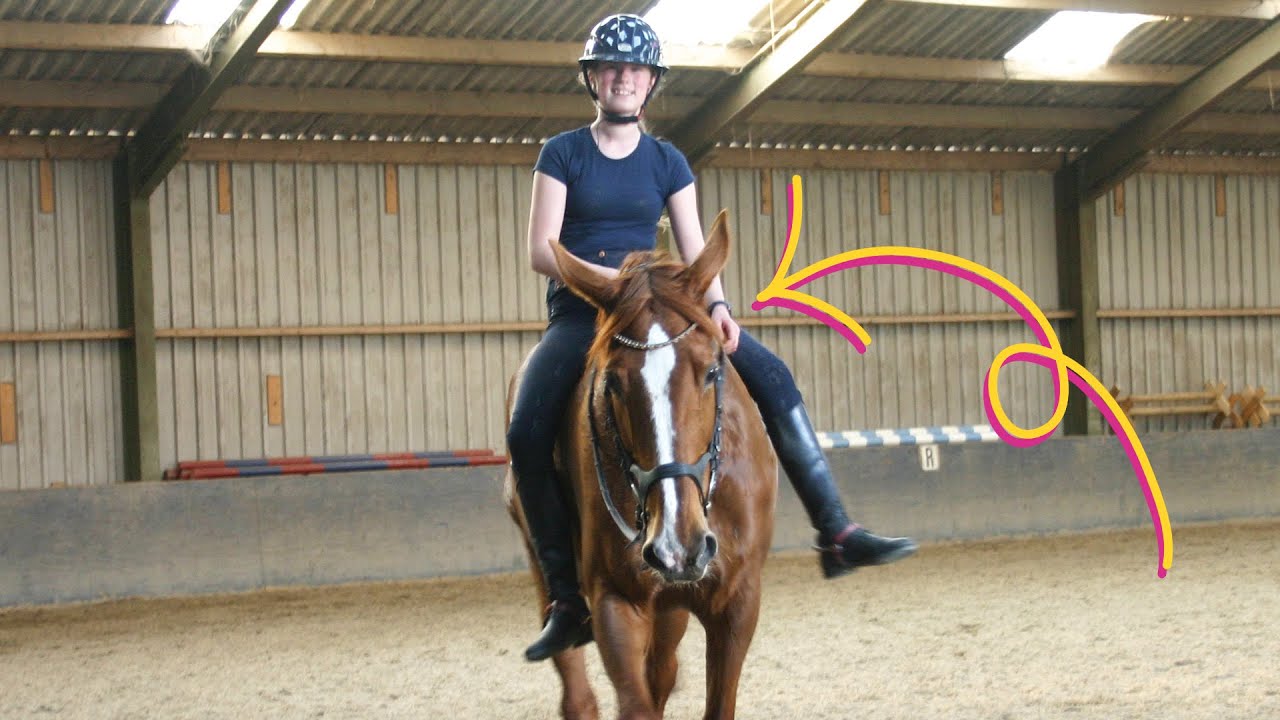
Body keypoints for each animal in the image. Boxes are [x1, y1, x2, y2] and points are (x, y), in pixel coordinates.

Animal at [504, 210, 778, 720]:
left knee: (663, 670)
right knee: (575, 683)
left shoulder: (737, 602)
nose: (677, 546)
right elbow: (635, 704)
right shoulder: (616, 602)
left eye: (712, 371)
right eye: (612, 382)